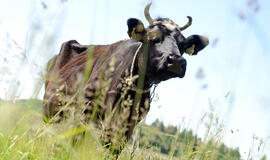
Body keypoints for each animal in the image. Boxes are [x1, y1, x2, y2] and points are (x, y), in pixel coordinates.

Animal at [43, 1, 209, 156]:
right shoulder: (85, 111)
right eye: (152, 37)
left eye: (183, 44)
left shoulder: (127, 126)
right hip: (49, 109)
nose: (176, 61)